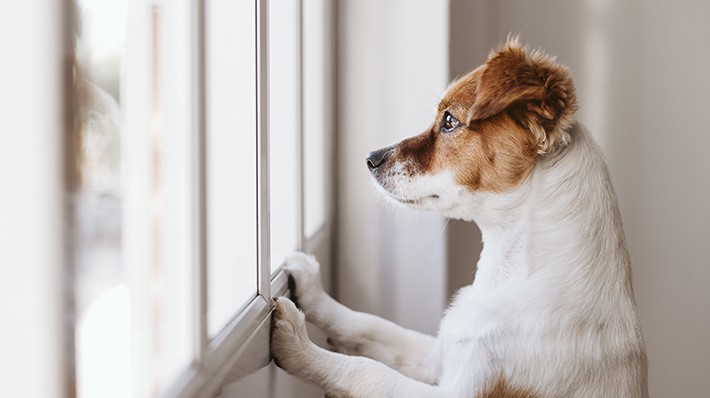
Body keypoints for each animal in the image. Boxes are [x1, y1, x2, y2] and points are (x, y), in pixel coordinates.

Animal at [272, 38, 652, 398]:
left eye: (450, 121)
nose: (370, 158)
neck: (509, 274)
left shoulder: (458, 390)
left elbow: (365, 371)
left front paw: (298, 344)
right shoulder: (439, 354)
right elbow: (370, 325)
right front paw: (313, 291)